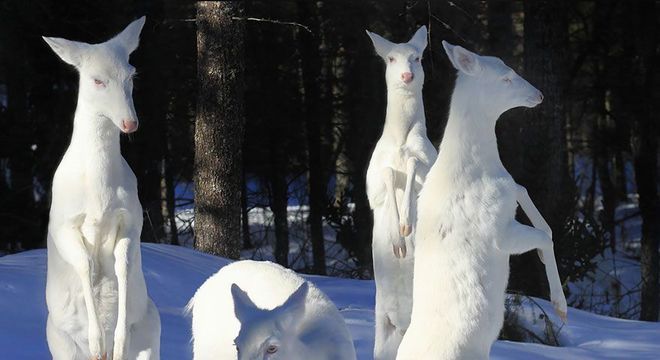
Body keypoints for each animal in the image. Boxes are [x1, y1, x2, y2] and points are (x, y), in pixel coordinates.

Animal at [43, 16, 160, 360]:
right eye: (97, 80)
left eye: (132, 74)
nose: (130, 123)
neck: (99, 193)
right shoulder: (62, 222)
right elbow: (85, 263)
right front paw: (97, 342)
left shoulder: (132, 217)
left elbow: (123, 265)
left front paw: (116, 342)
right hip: (58, 342)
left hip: (153, 330)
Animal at [394, 40, 568, 358]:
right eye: (506, 78)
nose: (538, 94)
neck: (484, 166)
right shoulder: (498, 231)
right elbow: (544, 236)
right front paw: (560, 306)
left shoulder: (509, 192)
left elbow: (526, 196)